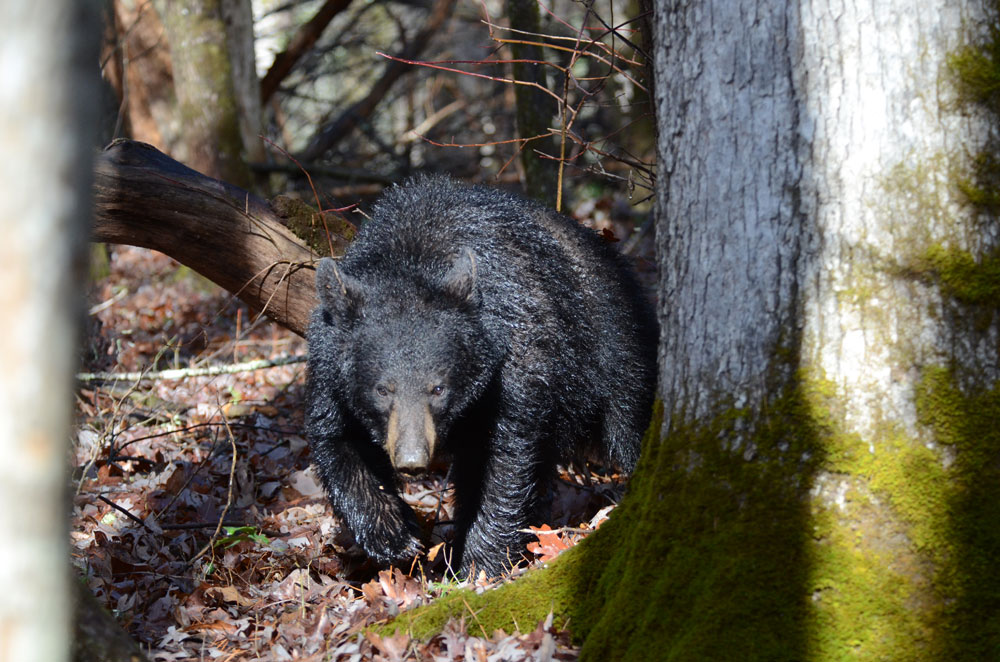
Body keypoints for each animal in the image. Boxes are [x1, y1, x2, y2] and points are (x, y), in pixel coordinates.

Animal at [308, 178, 660, 580]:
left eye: (438, 388)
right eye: (382, 389)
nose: (412, 460)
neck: (410, 258)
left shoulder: (514, 363)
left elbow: (500, 460)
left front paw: (477, 565)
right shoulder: (329, 369)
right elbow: (338, 441)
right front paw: (394, 534)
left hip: (614, 342)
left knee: (630, 420)